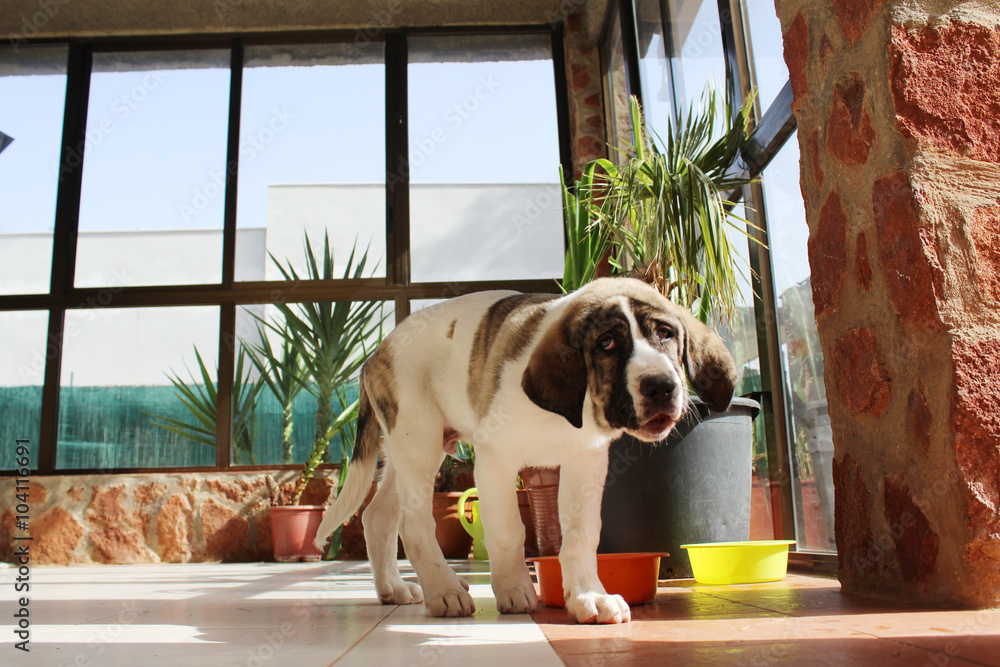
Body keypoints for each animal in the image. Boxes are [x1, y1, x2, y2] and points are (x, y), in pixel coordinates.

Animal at [316, 276, 740, 628]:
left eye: (666, 334)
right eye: (607, 344)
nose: (661, 386)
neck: (571, 410)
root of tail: (377, 353)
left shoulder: (585, 462)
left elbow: (582, 534)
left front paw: (588, 595)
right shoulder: (495, 459)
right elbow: (508, 529)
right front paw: (514, 589)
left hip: (410, 452)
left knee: (378, 516)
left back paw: (395, 589)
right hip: (418, 439)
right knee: (412, 523)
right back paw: (445, 590)